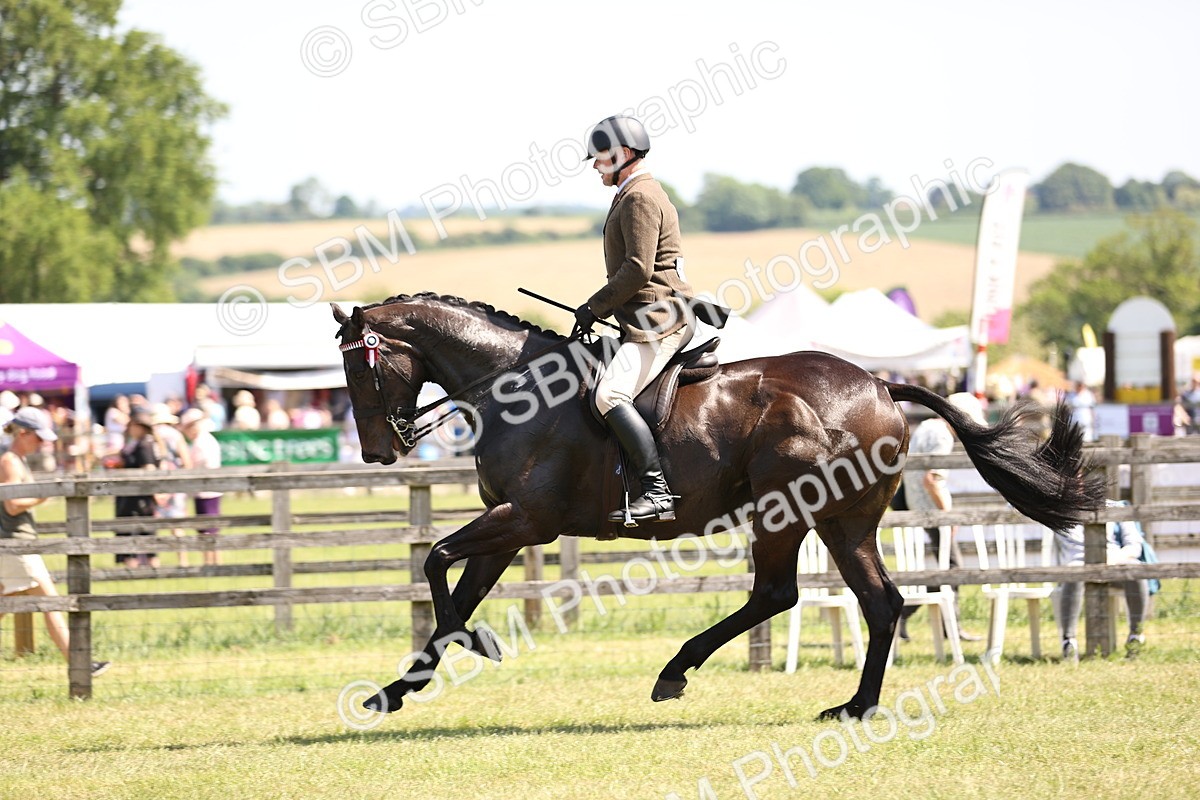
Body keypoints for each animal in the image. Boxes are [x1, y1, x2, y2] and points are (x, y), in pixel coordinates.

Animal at [332, 292, 1102, 720]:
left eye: (360, 366)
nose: (378, 451)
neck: (516, 389)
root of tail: (883, 385)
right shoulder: (509, 527)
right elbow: (452, 592)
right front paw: (399, 690)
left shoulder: (525, 520)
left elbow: (435, 562)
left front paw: (468, 646)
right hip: (840, 520)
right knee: (874, 602)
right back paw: (854, 706)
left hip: (790, 510)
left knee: (786, 593)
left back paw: (681, 672)